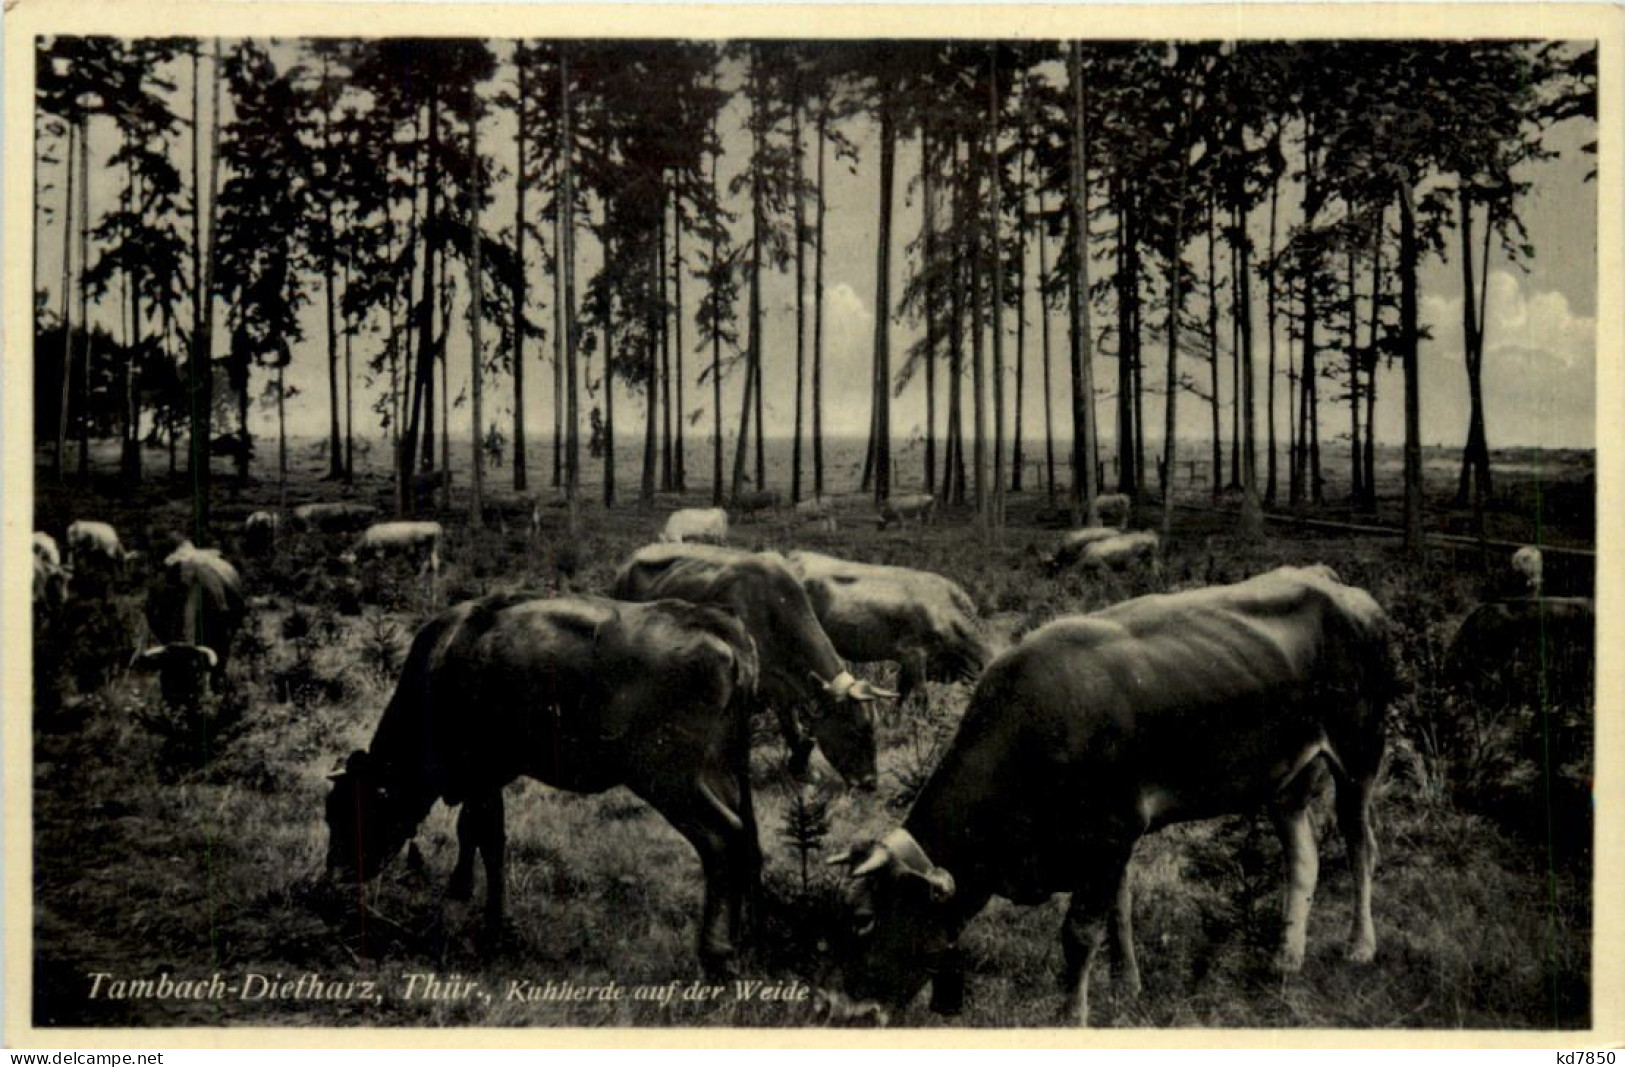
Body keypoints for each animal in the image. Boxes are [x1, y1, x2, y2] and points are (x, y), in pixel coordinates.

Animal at [329, 591, 767, 974]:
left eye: (354, 813)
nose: (336, 875)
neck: (445, 660)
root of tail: (717, 622)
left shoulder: (482, 772)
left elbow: (485, 837)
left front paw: (489, 923)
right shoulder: (489, 777)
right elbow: (476, 832)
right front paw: (464, 892)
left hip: (669, 777)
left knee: (722, 839)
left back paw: (715, 954)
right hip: (721, 772)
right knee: (746, 841)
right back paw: (745, 939)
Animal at [611, 545, 897, 786]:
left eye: (873, 727)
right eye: (853, 730)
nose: (870, 783)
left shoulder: (782, 686)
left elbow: (795, 729)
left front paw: (801, 769)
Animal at [832, 565, 1391, 1026]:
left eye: (865, 920)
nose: (850, 1011)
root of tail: (1332, 582)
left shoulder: (1108, 830)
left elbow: (1080, 931)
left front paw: (1071, 1015)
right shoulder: (1113, 840)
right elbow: (1119, 912)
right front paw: (1127, 986)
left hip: (1359, 750)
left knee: (1361, 846)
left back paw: (1360, 945)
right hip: (1288, 778)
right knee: (1303, 857)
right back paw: (1286, 957)